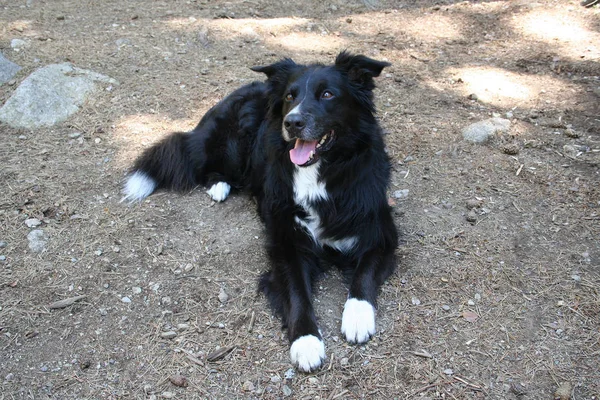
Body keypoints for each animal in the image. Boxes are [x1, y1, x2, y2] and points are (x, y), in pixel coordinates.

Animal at [123, 52, 398, 372]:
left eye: (328, 94)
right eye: (290, 96)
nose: (292, 122)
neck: (320, 173)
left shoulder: (381, 233)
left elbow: (363, 275)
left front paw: (357, 318)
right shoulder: (286, 242)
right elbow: (297, 292)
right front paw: (306, 342)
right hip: (232, 143)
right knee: (207, 165)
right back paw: (219, 186)